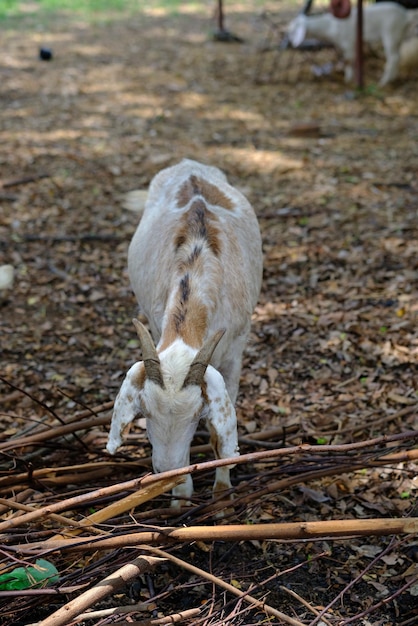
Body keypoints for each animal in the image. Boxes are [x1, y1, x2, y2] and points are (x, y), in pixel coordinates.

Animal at [106, 157, 262, 502]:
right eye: (145, 413)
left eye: (197, 416)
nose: (167, 469)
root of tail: (188, 163)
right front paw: (180, 497)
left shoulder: (234, 353)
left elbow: (219, 436)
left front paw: (222, 491)